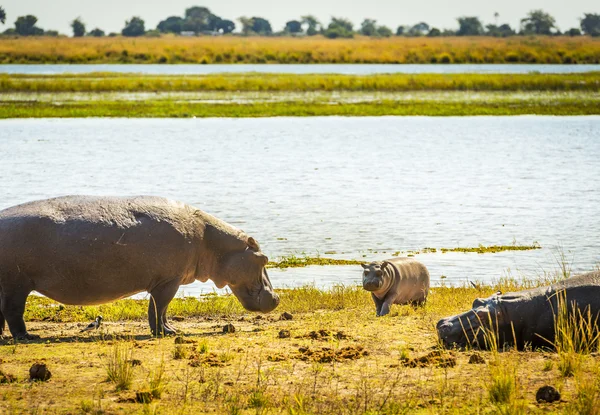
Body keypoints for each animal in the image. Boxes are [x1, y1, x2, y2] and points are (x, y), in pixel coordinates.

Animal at [0, 197, 280, 340]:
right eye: (264, 259)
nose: (277, 298)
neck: (212, 241)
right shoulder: (168, 281)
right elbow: (160, 307)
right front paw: (168, 332)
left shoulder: (163, 280)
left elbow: (157, 310)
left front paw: (168, 330)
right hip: (16, 284)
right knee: (13, 312)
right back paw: (27, 337)